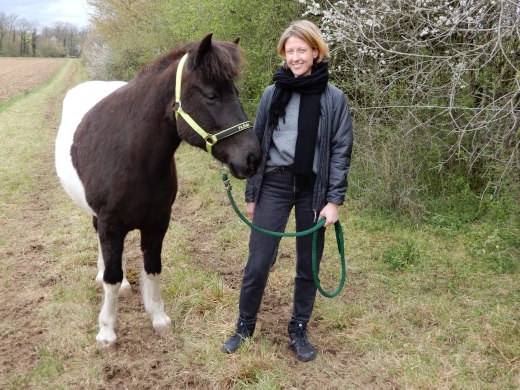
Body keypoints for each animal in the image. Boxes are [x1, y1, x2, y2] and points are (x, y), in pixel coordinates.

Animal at [54, 34, 262, 350]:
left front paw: (158, 318)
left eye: (235, 92)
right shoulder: (111, 224)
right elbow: (113, 277)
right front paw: (106, 331)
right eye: (212, 95)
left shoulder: (158, 223)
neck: (133, 155)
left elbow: (153, 267)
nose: (252, 157)